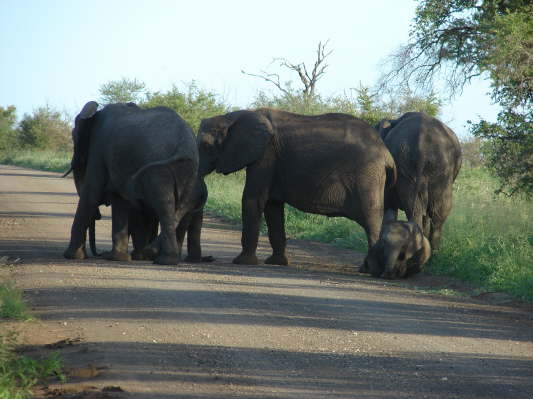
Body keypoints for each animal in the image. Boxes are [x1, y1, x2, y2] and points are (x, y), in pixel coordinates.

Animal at [62, 101, 200, 266]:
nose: (99, 254)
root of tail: (184, 144)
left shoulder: (99, 147)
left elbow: (91, 194)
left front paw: (71, 256)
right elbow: (119, 199)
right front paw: (119, 258)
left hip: (160, 171)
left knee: (164, 205)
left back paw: (163, 260)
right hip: (189, 173)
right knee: (180, 206)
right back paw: (158, 257)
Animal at [195, 108, 394, 268]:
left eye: (205, 146)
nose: (208, 258)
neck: (233, 116)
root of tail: (386, 152)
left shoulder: (266, 154)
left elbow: (253, 199)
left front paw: (242, 262)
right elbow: (272, 206)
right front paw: (276, 263)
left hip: (367, 176)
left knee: (371, 219)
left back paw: (369, 270)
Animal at [376, 111, 460, 250]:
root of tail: (423, 145)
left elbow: (388, 208)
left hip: (408, 168)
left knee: (415, 211)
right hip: (442, 170)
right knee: (437, 212)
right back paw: (432, 253)